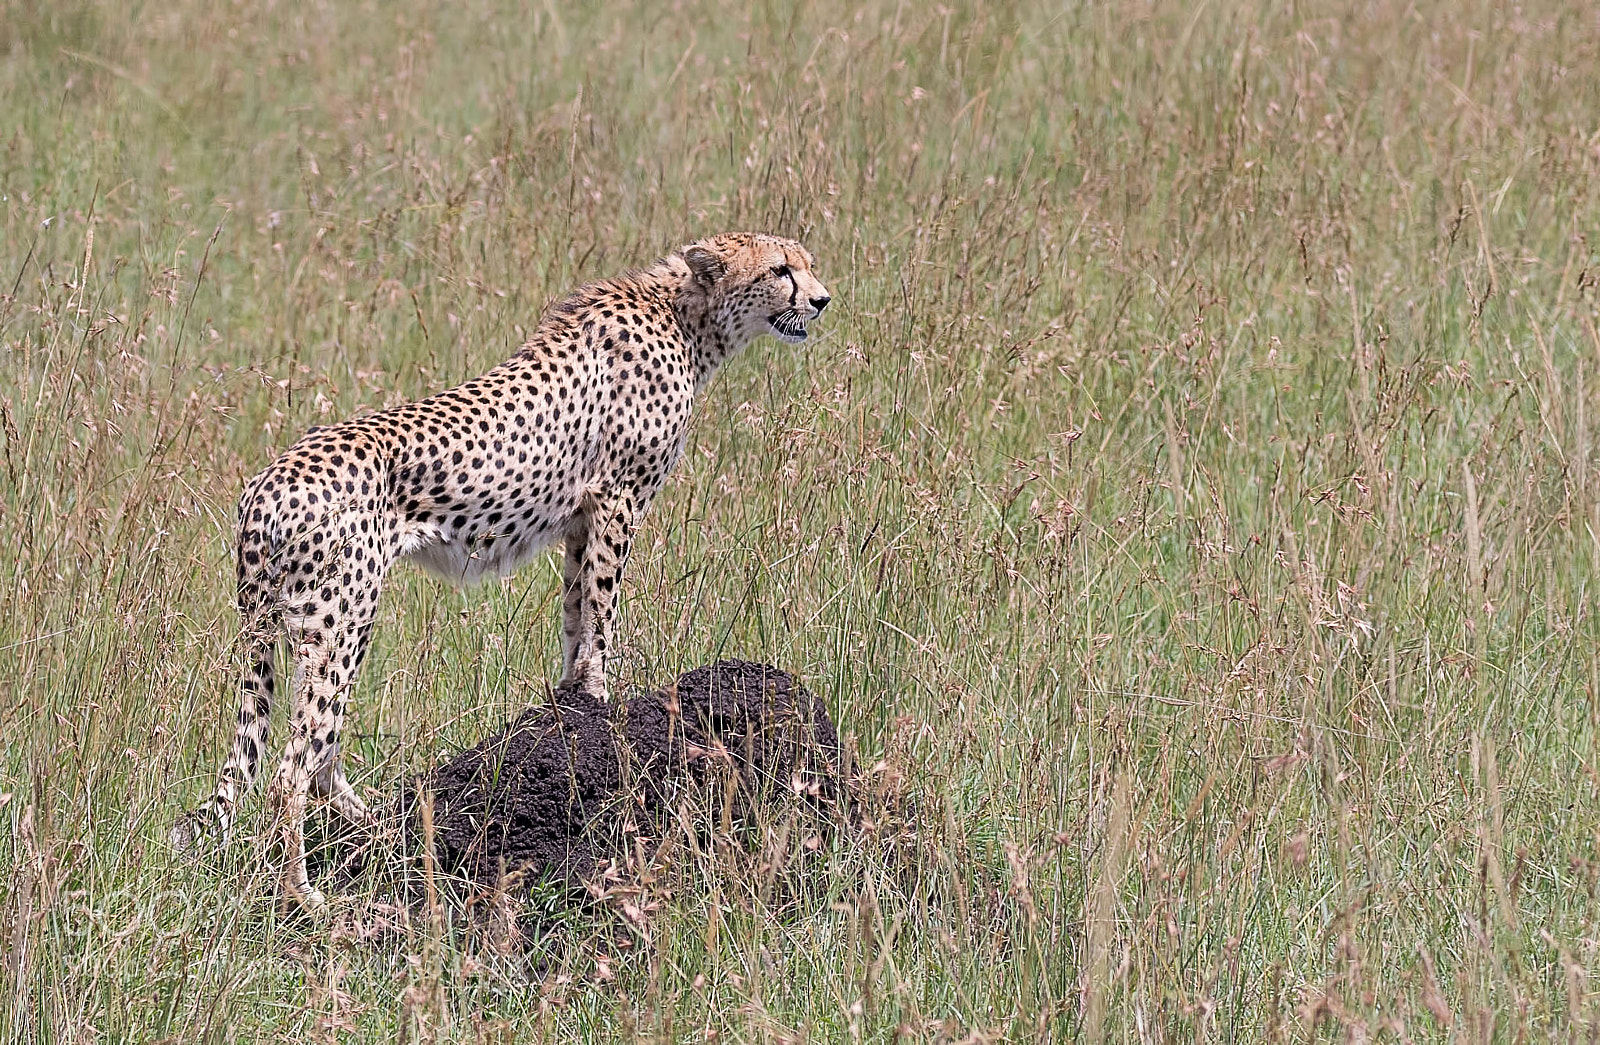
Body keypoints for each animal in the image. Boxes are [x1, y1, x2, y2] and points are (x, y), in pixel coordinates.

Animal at [175, 232, 831, 909]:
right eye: (780, 270)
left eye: (805, 264)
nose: (822, 299)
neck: (686, 315)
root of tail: (264, 482)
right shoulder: (617, 499)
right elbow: (603, 615)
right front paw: (601, 703)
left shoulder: (579, 518)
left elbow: (576, 616)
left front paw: (571, 703)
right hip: (341, 618)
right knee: (292, 767)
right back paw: (306, 895)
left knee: (319, 750)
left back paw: (387, 832)